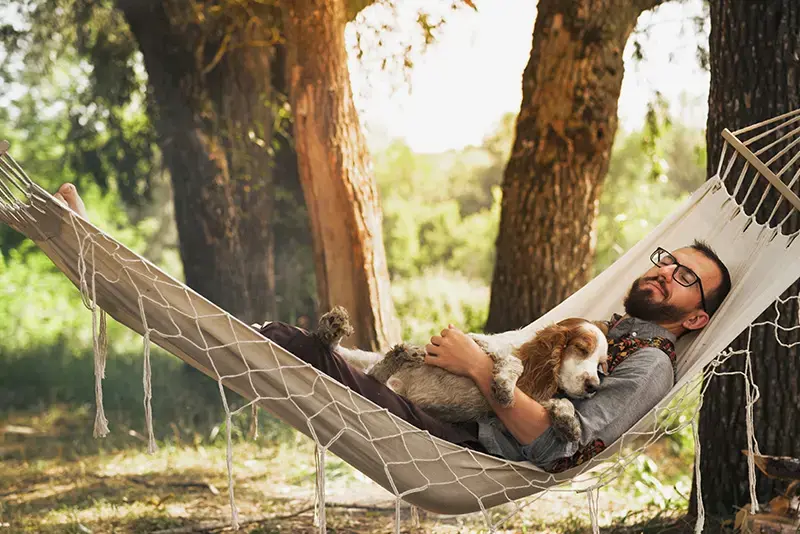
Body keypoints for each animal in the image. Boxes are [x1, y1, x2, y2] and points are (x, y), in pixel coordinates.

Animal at [318, 308, 608, 446]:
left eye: (601, 366)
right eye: (581, 349)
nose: (593, 386)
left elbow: (564, 403)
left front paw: (568, 423)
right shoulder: (482, 344)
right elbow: (512, 363)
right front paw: (504, 386)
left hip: (379, 379)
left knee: (373, 374)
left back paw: (399, 354)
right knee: (356, 362)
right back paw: (334, 329)